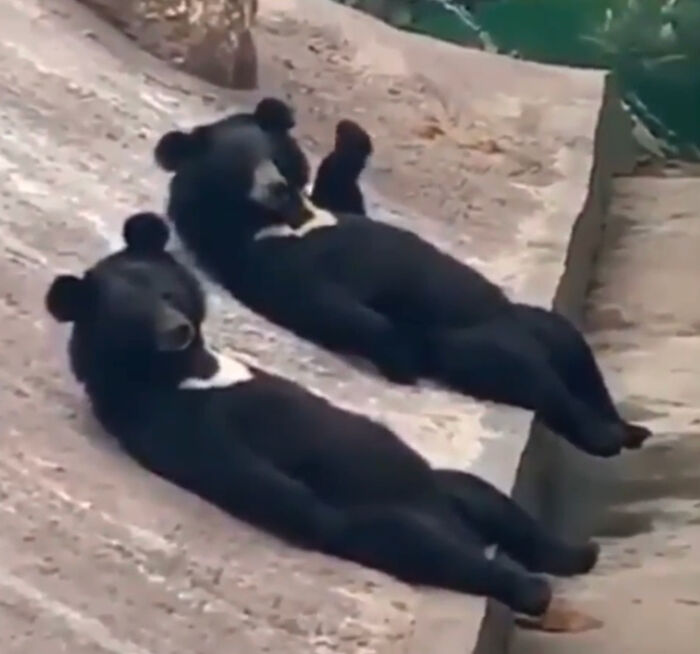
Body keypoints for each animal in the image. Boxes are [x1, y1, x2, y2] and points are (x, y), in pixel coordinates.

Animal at [45, 212, 601, 616]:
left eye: (168, 292)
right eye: (133, 313)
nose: (177, 329)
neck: (184, 371)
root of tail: (459, 525)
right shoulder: (189, 427)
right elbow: (268, 480)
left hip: (445, 487)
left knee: (491, 502)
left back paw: (577, 553)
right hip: (390, 517)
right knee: (419, 543)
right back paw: (528, 586)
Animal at [153, 98, 652, 459]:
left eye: (272, 155)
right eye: (237, 167)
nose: (276, 187)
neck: (278, 220)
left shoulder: (328, 210)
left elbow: (343, 190)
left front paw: (349, 134)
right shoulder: (262, 260)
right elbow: (329, 302)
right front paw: (400, 356)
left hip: (531, 322)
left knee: (575, 352)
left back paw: (630, 427)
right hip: (473, 345)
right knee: (534, 379)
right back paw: (606, 436)